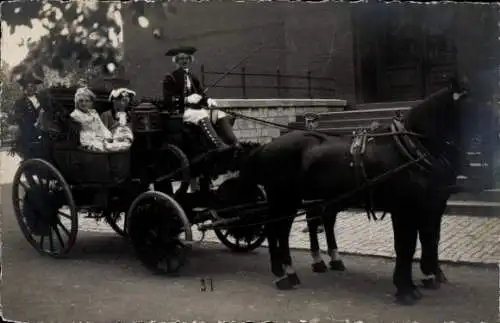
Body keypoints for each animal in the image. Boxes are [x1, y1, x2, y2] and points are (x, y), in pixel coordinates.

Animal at [236, 78, 470, 306]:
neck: (408, 147)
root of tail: (267, 146)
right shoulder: (405, 208)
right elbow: (407, 246)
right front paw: (406, 288)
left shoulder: (429, 204)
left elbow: (428, 238)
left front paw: (427, 276)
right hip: (283, 199)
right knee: (276, 230)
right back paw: (282, 274)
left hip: (301, 199)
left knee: (297, 227)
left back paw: (301, 269)